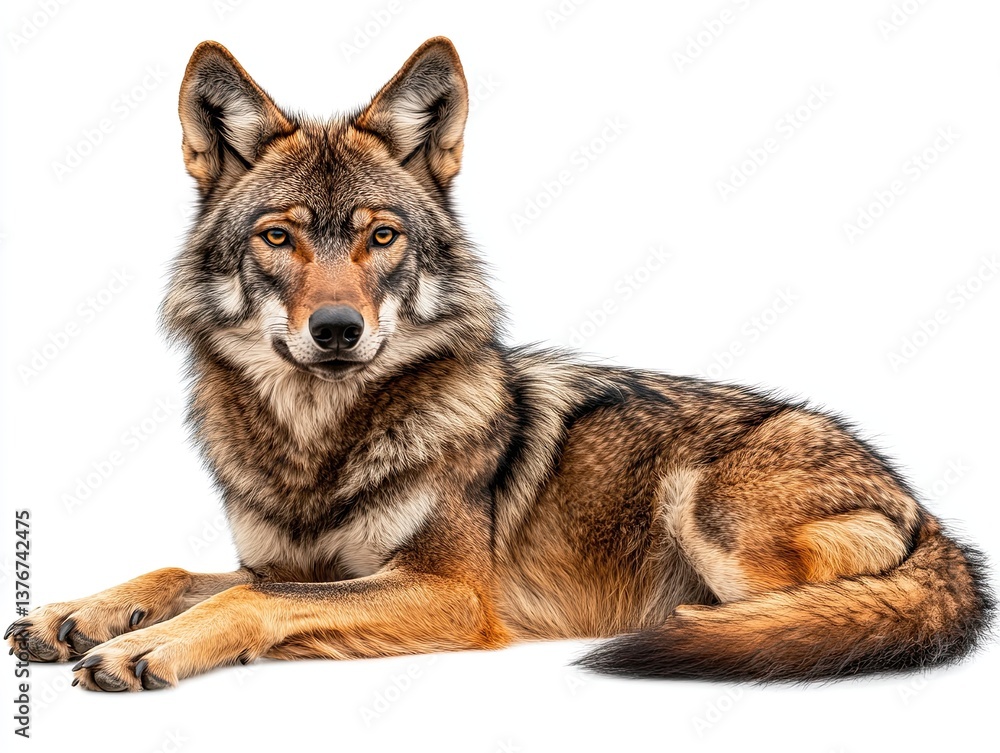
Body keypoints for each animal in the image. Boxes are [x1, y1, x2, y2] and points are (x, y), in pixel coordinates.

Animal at [6, 38, 992, 691]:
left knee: (800, 615)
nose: (337, 329)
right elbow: (179, 574)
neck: (318, 440)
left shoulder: (448, 592)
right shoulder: (292, 564)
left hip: (705, 509)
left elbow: (241, 604)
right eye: (278, 237)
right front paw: (79, 612)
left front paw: (141, 645)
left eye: (381, 237)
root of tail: (923, 504)